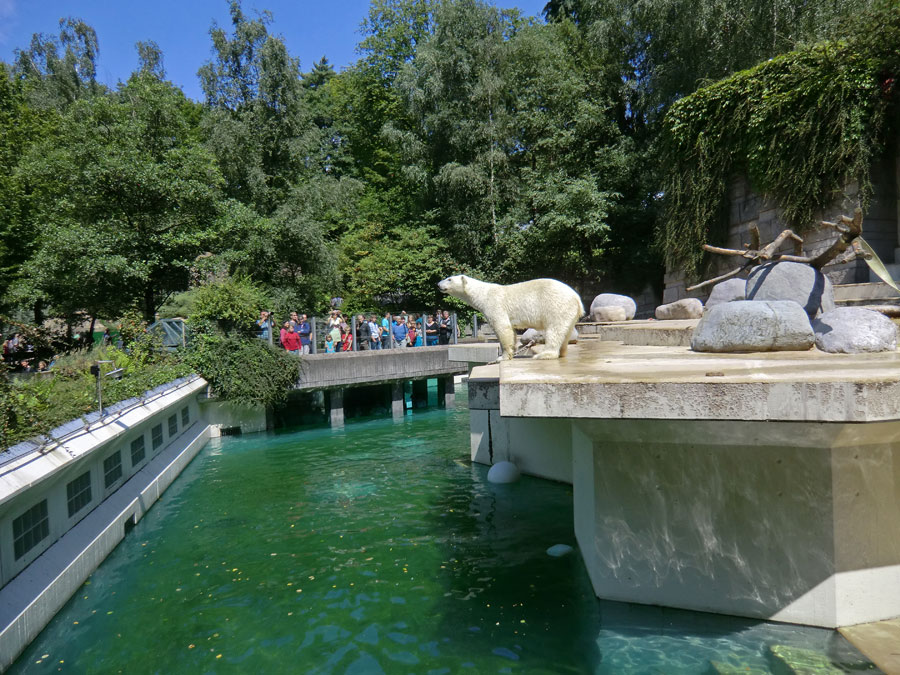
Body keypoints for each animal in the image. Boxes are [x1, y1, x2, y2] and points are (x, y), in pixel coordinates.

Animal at [438, 274, 584, 360]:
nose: (438, 284)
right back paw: (562, 352)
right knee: (565, 331)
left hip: (556, 305)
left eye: (449, 279)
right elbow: (511, 330)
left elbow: (502, 327)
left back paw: (544, 354)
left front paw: (502, 357)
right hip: (568, 312)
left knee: (555, 330)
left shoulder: (495, 304)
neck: (483, 294)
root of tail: (577, 298)